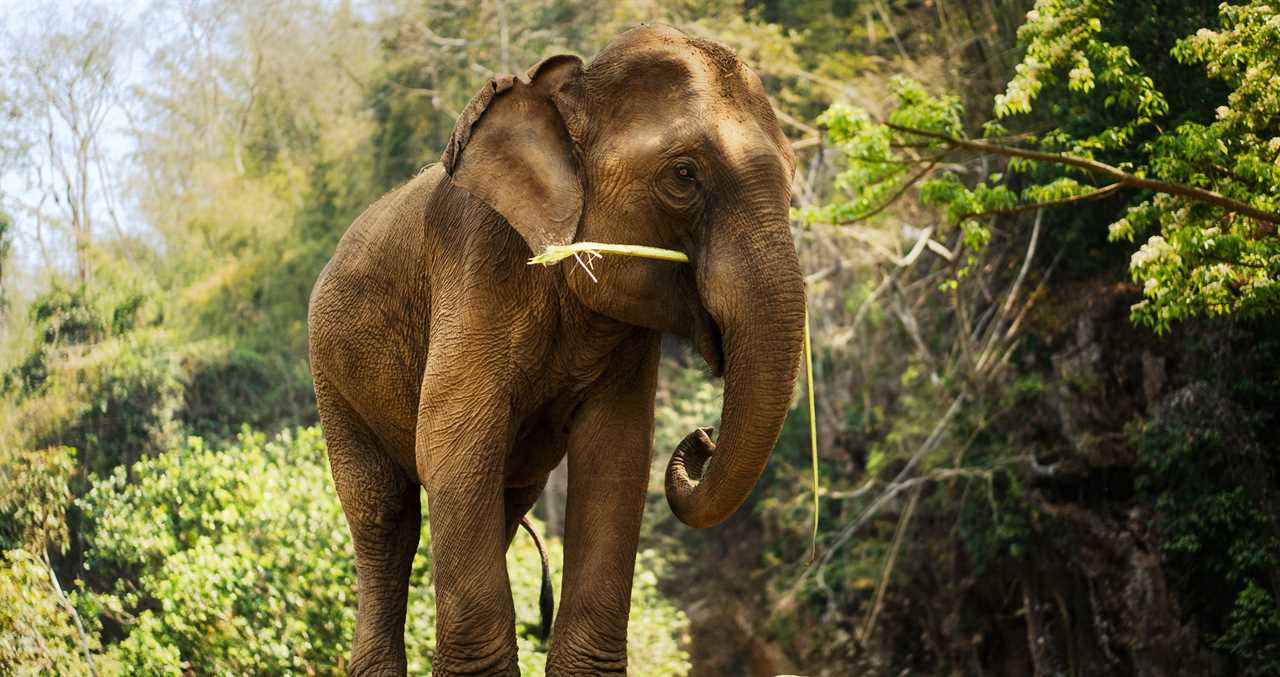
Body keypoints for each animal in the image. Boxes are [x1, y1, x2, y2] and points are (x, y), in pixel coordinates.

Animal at [307, 24, 805, 676]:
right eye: (684, 176)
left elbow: (615, 456)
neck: (566, 94)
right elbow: (449, 445)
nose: (701, 438)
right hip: (330, 373)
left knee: (502, 501)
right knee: (385, 514)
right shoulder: (477, 263)